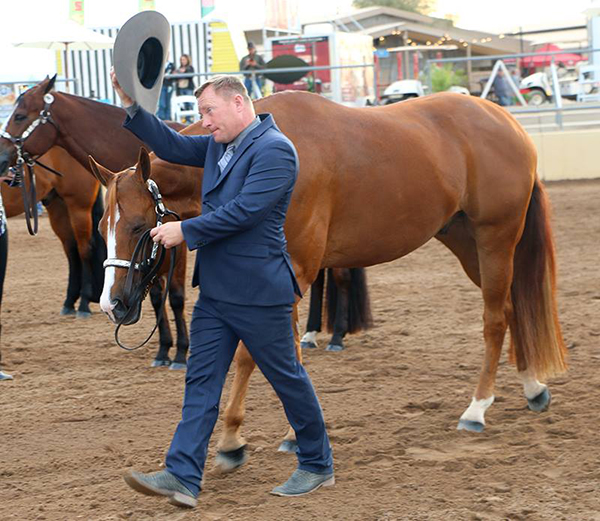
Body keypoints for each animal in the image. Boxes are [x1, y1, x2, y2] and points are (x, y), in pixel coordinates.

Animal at [0, 77, 189, 370]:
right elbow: (157, 297)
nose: (0, 156)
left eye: (19, 116)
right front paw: (163, 351)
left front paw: (180, 353)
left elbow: (177, 297)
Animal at [89, 90, 568, 472]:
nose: (113, 304)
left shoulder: (295, 270)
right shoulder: (284, 279)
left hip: (495, 239)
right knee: (511, 308)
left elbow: (254, 354)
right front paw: (291, 435)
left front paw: (232, 439)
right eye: (101, 228)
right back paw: (532, 388)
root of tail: (508, 123)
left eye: (137, 226)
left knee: (494, 320)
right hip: (466, 242)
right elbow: (283, 353)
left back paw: (477, 408)